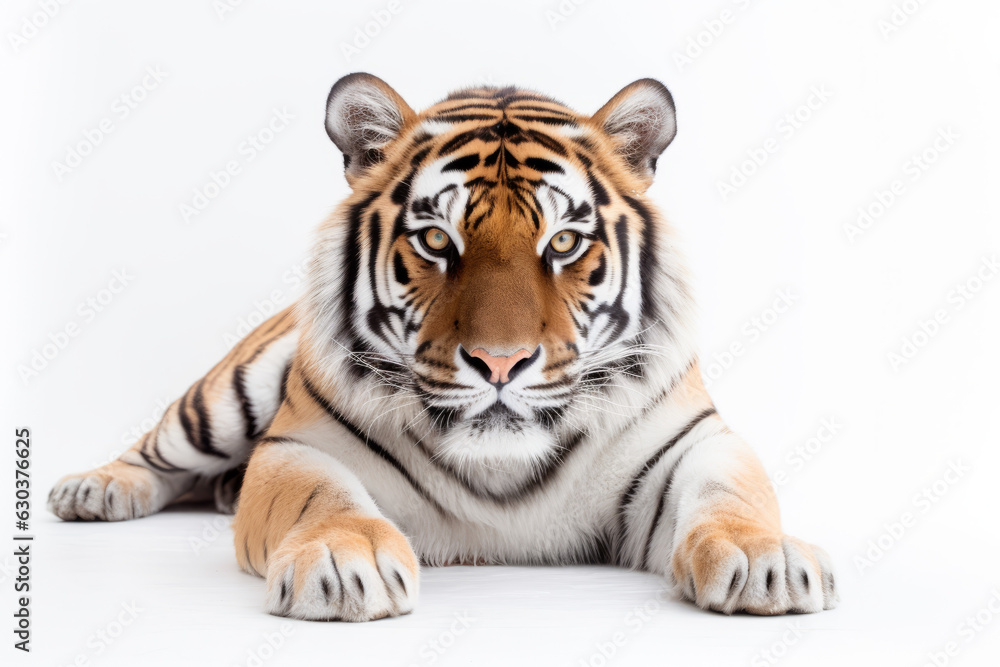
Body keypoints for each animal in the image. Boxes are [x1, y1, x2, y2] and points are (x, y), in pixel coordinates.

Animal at [49, 73, 838, 621]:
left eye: (563, 243)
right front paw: (343, 561)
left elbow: (731, 495)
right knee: (157, 450)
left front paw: (765, 559)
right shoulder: (300, 446)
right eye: (435, 239)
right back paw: (93, 489)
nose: (500, 363)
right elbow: (320, 497)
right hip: (226, 397)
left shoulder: (694, 441)